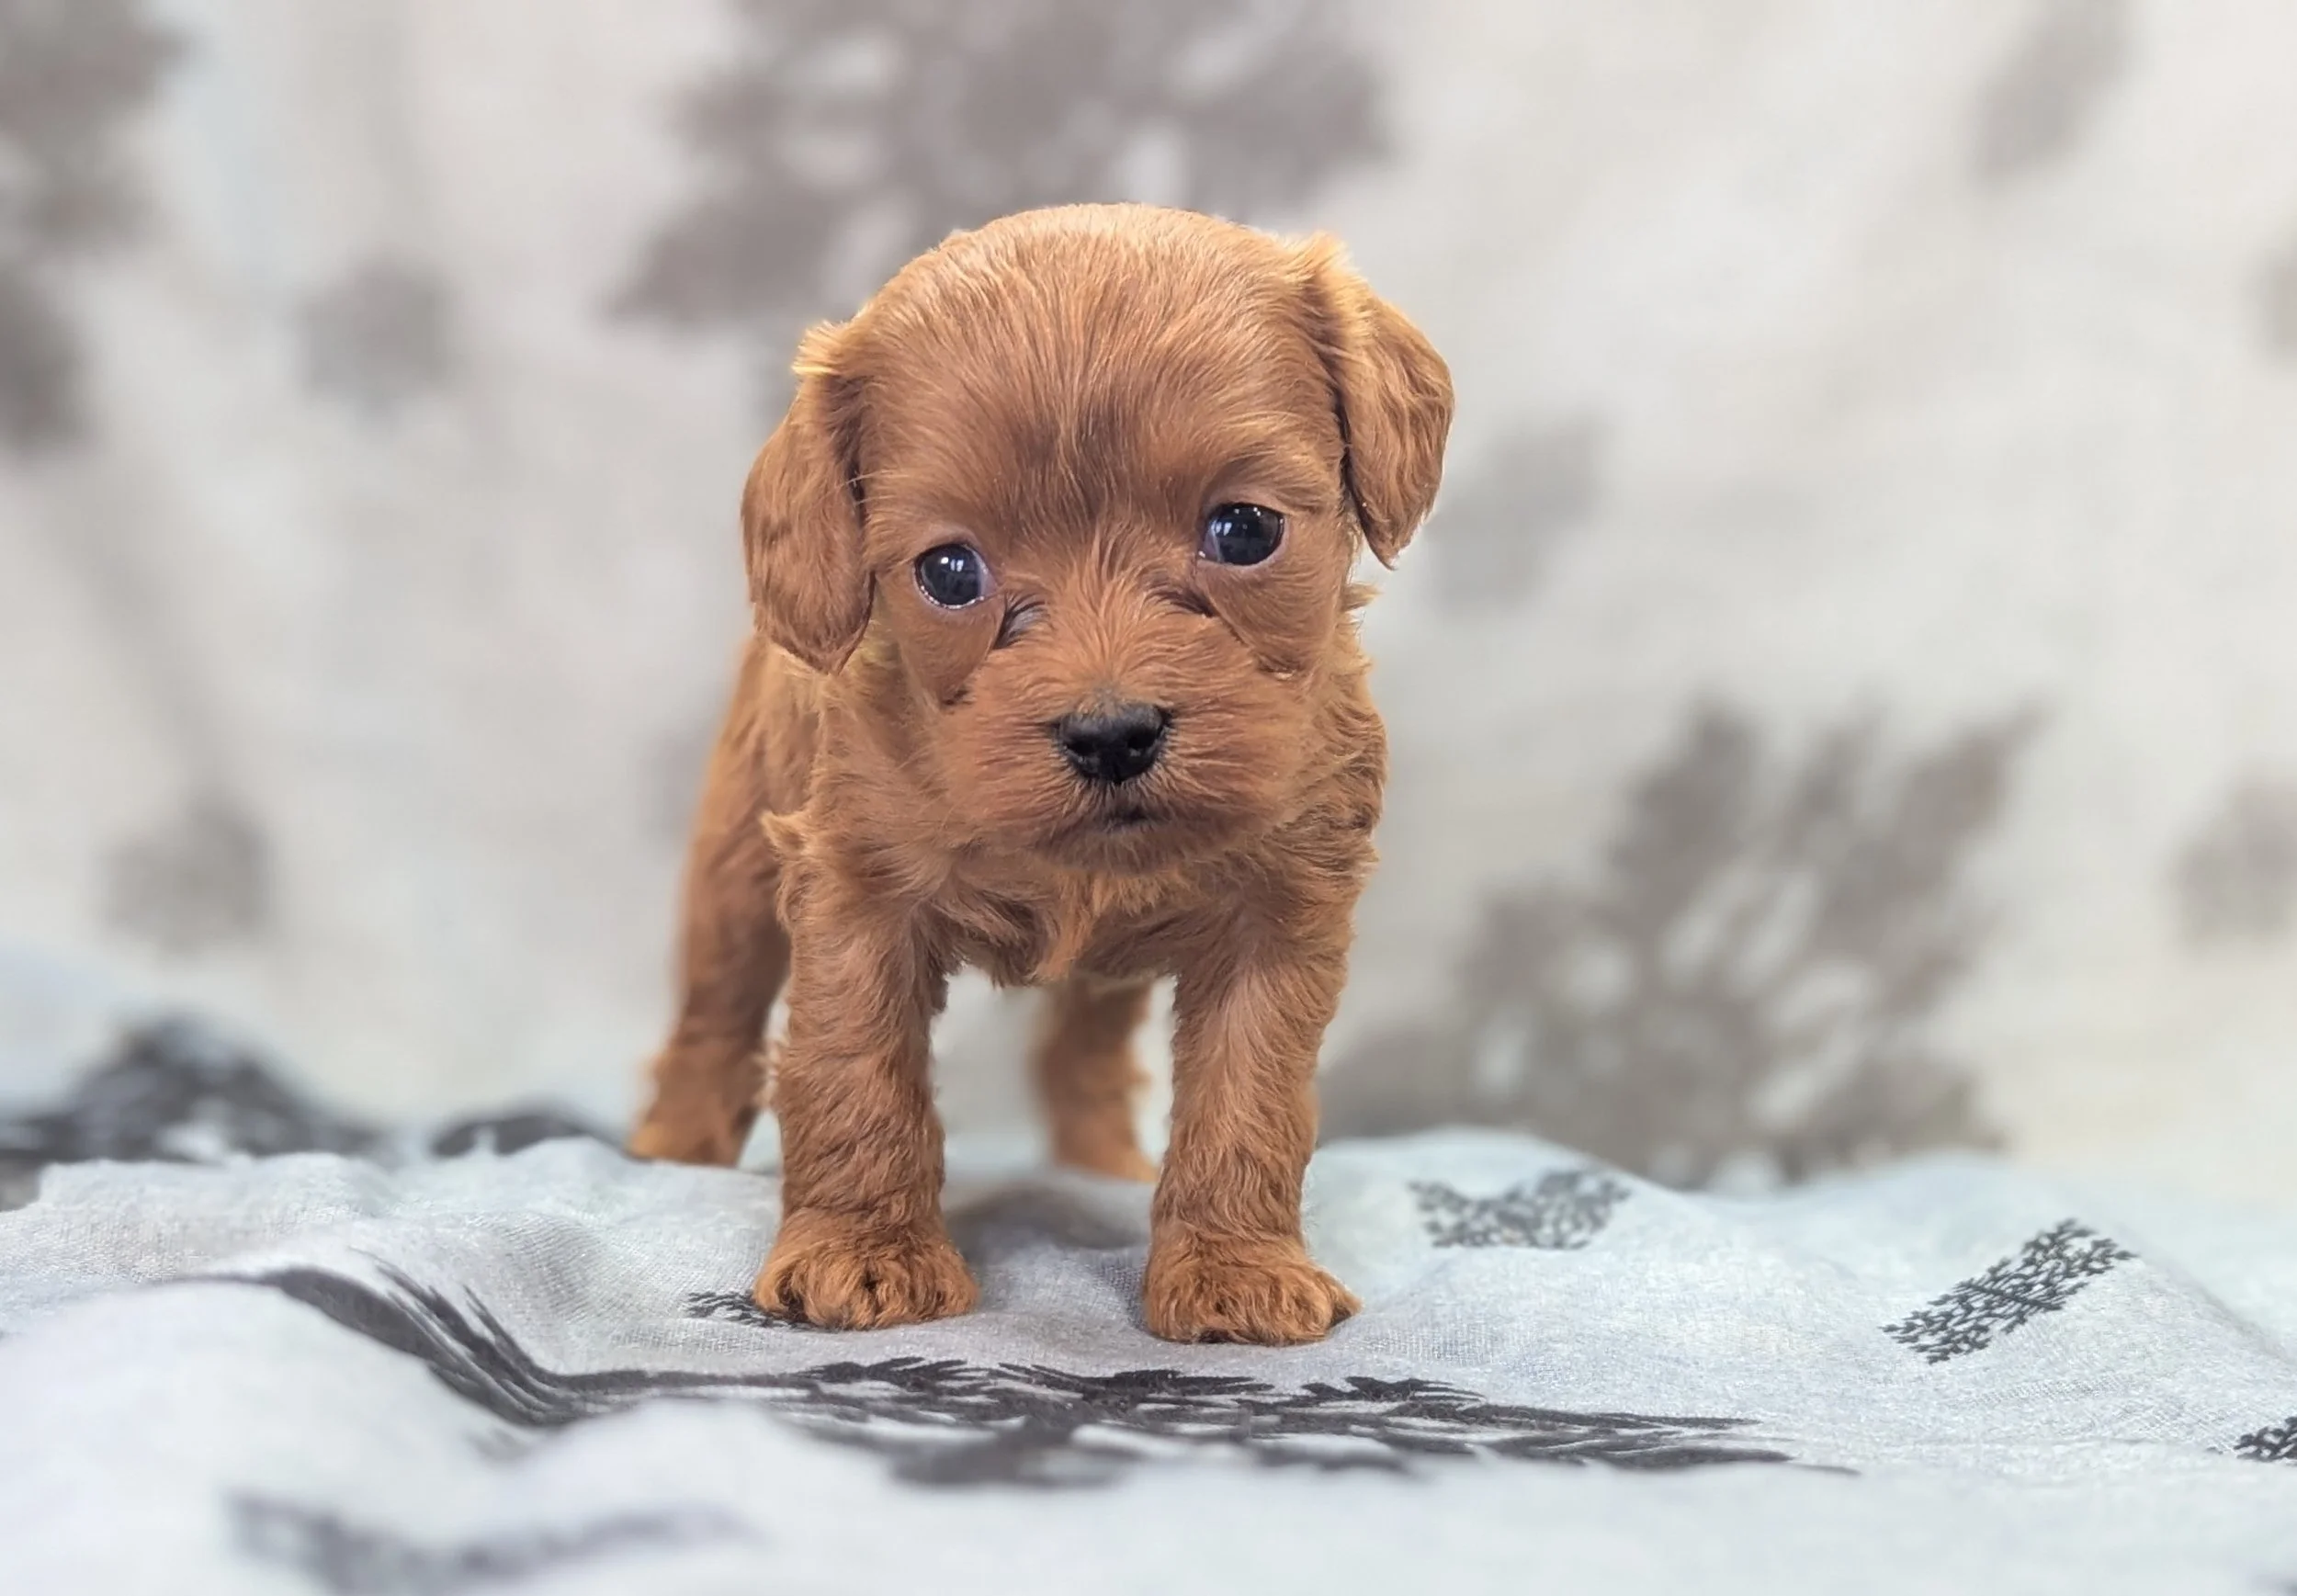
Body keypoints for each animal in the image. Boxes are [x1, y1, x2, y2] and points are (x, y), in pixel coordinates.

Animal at [629, 203, 1451, 1344]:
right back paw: (672, 1151)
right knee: (711, 1017)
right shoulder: (855, 893)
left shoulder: (1279, 911)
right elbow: (854, 1074)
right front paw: (861, 1252)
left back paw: (1099, 1164)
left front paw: (1235, 1268)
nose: (1111, 733)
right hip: (735, 862)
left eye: (1244, 529)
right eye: (948, 572)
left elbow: (1249, 1098)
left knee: (1084, 1054)